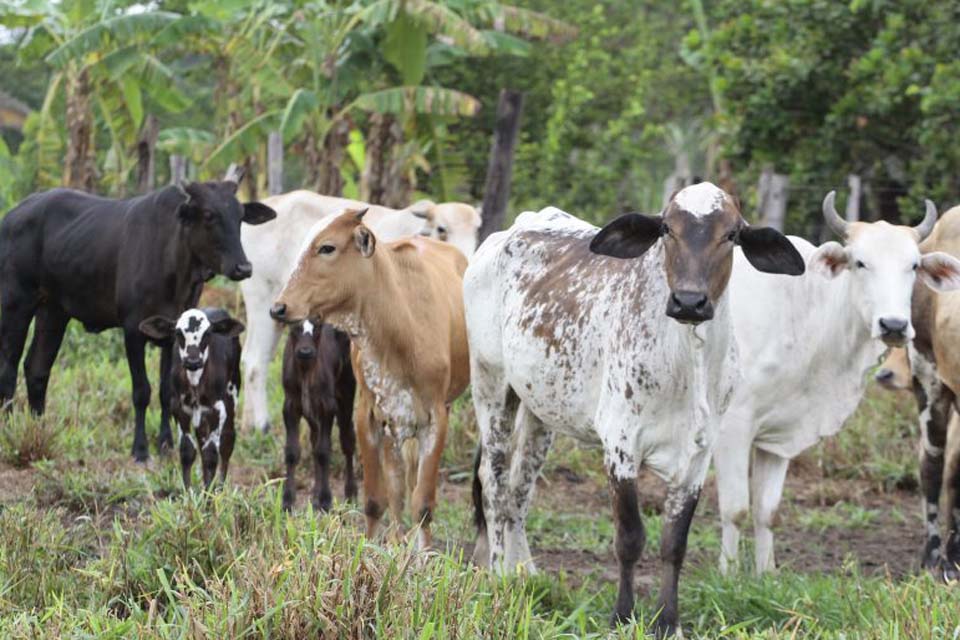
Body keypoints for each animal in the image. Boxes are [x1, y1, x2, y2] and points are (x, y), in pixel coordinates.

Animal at [0, 176, 276, 460]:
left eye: (240, 216)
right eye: (209, 215)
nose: (244, 267)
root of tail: (12, 215)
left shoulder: (172, 334)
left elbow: (166, 392)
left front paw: (166, 444)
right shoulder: (133, 330)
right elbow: (142, 391)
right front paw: (140, 449)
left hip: (53, 311)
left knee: (37, 369)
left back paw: (37, 427)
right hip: (16, 303)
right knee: (8, 369)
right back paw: (10, 428)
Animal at [284, 322, 360, 512]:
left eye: (317, 327)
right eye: (294, 326)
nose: (305, 351)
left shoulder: (328, 407)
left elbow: (324, 452)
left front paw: (326, 500)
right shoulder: (289, 406)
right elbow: (292, 452)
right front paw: (287, 501)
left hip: (346, 393)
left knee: (347, 441)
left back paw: (351, 493)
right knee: (314, 439)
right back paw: (315, 495)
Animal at [464, 182, 804, 636]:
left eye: (731, 234)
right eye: (666, 229)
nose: (689, 301)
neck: (687, 361)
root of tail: (506, 233)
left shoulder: (698, 455)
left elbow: (674, 543)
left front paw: (668, 621)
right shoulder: (620, 444)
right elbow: (629, 537)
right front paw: (622, 615)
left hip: (539, 409)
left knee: (519, 488)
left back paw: (527, 575)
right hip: (492, 385)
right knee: (495, 482)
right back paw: (500, 572)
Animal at [716, 191, 960, 576]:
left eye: (913, 266)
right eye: (860, 262)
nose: (893, 325)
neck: (805, 309)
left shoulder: (779, 433)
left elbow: (767, 511)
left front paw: (765, 575)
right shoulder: (733, 426)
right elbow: (736, 509)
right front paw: (727, 577)